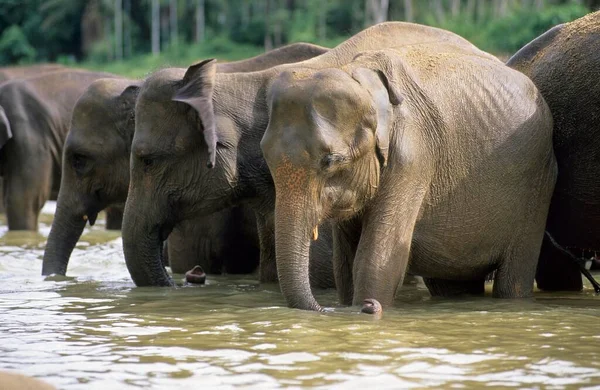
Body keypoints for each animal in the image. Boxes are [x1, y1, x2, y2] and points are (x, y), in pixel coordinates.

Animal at [260, 29, 556, 310]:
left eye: (330, 160)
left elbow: (378, 257)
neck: (359, 75)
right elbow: (344, 264)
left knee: (514, 278)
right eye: (265, 154)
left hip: (537, 187)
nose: (368, 308)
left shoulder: (413, 156)